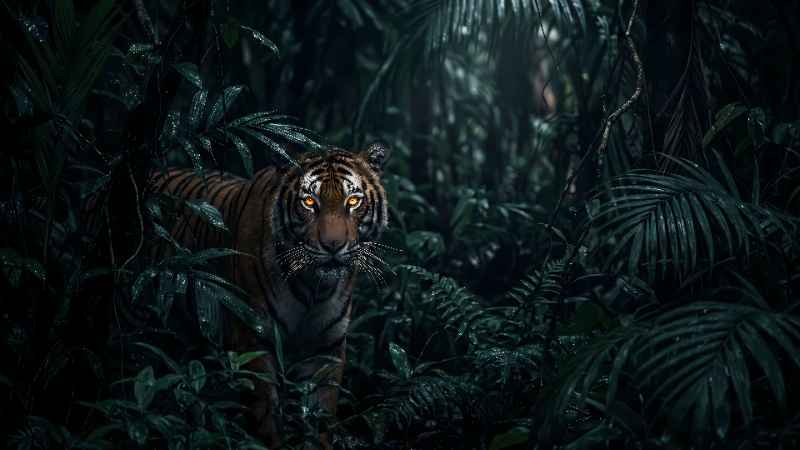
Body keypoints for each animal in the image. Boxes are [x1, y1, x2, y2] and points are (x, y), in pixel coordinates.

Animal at [149, 142, 391, 449]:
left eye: (353, 201)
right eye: (309, 202)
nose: (333, 245)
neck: (314, 287)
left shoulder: (327, 348)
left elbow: (321, 416)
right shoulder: (255, 337)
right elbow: (266, 415)